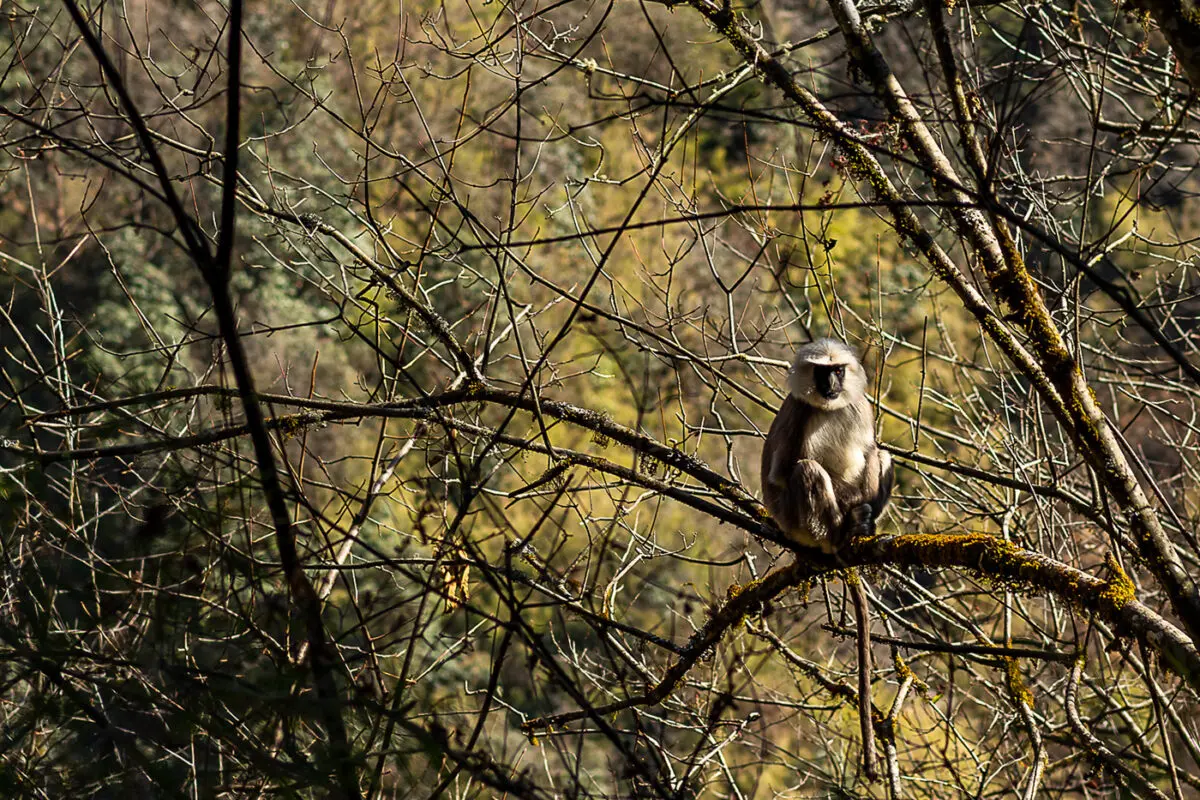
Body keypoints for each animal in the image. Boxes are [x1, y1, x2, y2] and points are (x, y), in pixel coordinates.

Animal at [758, 338, 892, 782]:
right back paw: (839, 535)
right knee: (806, 469)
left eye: (838, 371)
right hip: (795, 519)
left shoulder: (860, 406)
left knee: (880, 454)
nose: (831, 384)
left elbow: (867, 451)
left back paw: (860, 526)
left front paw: (863, 518)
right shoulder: (798, 410)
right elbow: (781, 474)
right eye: (821, 372)